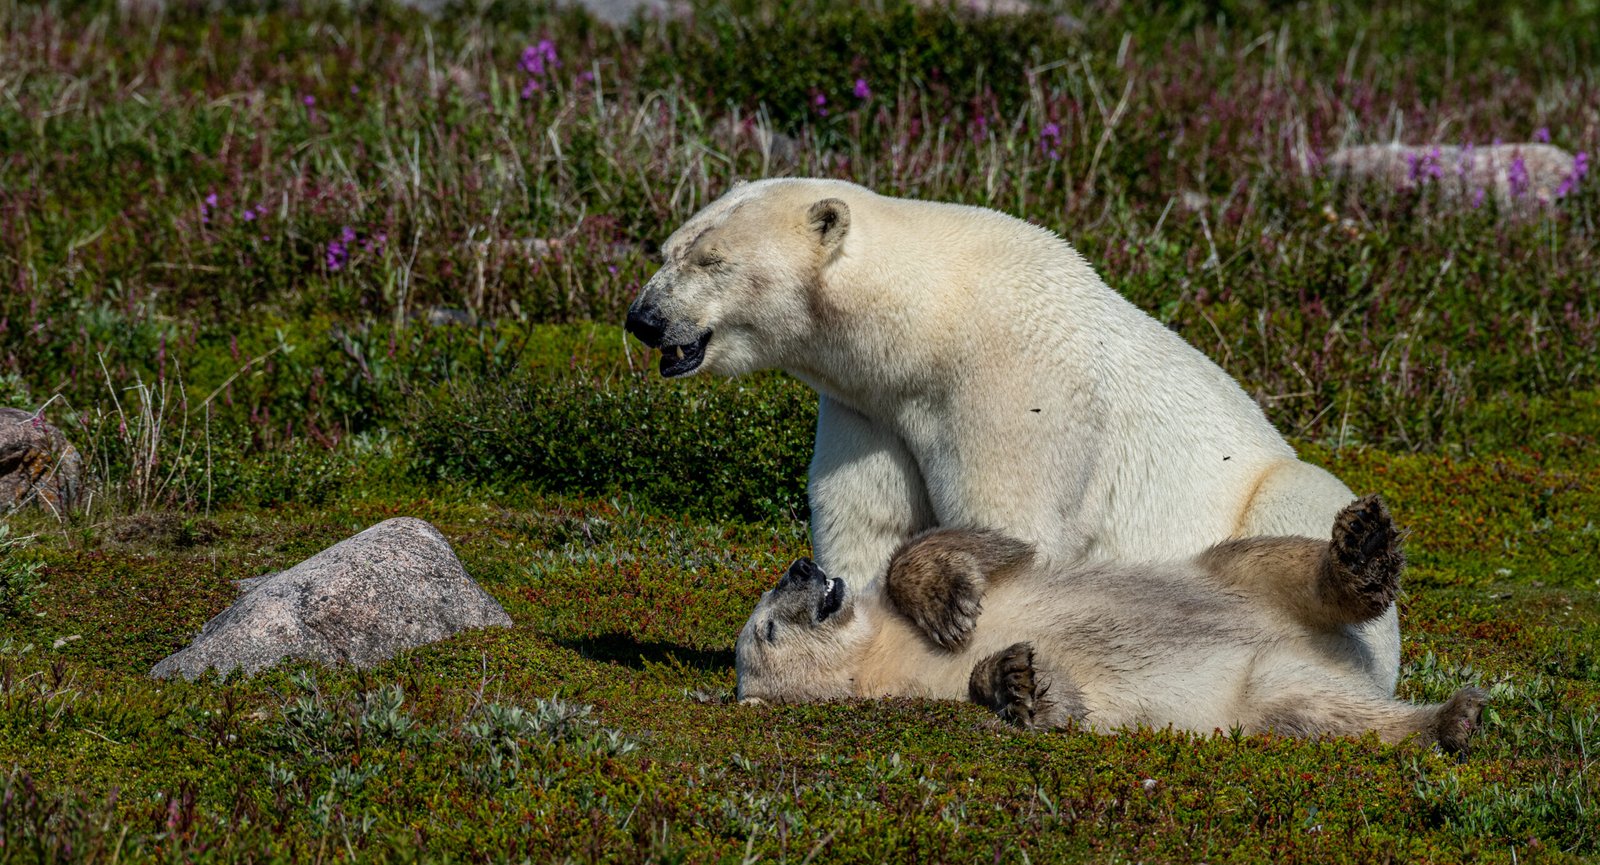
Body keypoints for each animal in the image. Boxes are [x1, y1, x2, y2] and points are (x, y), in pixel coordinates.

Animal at [624, 176, 1401, 693]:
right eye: (667, 248)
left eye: (711, 260)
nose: (643, 319)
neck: (929, 321)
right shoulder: (868, 410)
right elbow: (866, 516)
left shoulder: (1011, 377)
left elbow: (1011, 520)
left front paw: (952, 608)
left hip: (1271, 488)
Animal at [736, 495, 1484, 751]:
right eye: (767, 631)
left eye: (767, 611)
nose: (801, 568)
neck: (879, 656)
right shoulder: (920, 694)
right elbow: (1061, 706)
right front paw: (1014, 679)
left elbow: (975, 545)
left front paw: (950, 604)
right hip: (1262, 688)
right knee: (1318, 712)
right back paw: (1449, 720)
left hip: (1233, 577)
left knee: (1277, 561)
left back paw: (1360, 549)